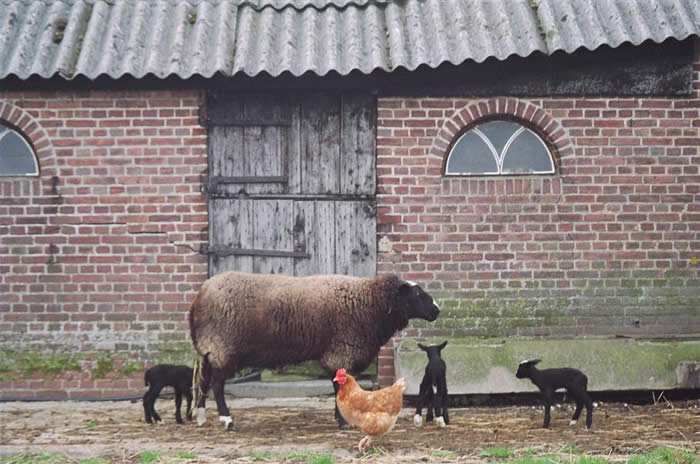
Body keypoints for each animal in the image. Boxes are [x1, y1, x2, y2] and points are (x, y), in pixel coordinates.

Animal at [186, 272, 438, 432]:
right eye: (416, 294)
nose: (436, 310)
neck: (370, 303)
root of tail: (199, 297)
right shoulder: (340, 350)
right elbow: (338, 388)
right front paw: (343, 422)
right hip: (222, 347)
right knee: (217, 385)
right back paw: (228, 421)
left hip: (210, 349)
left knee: (204, 381)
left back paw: (200, 417)